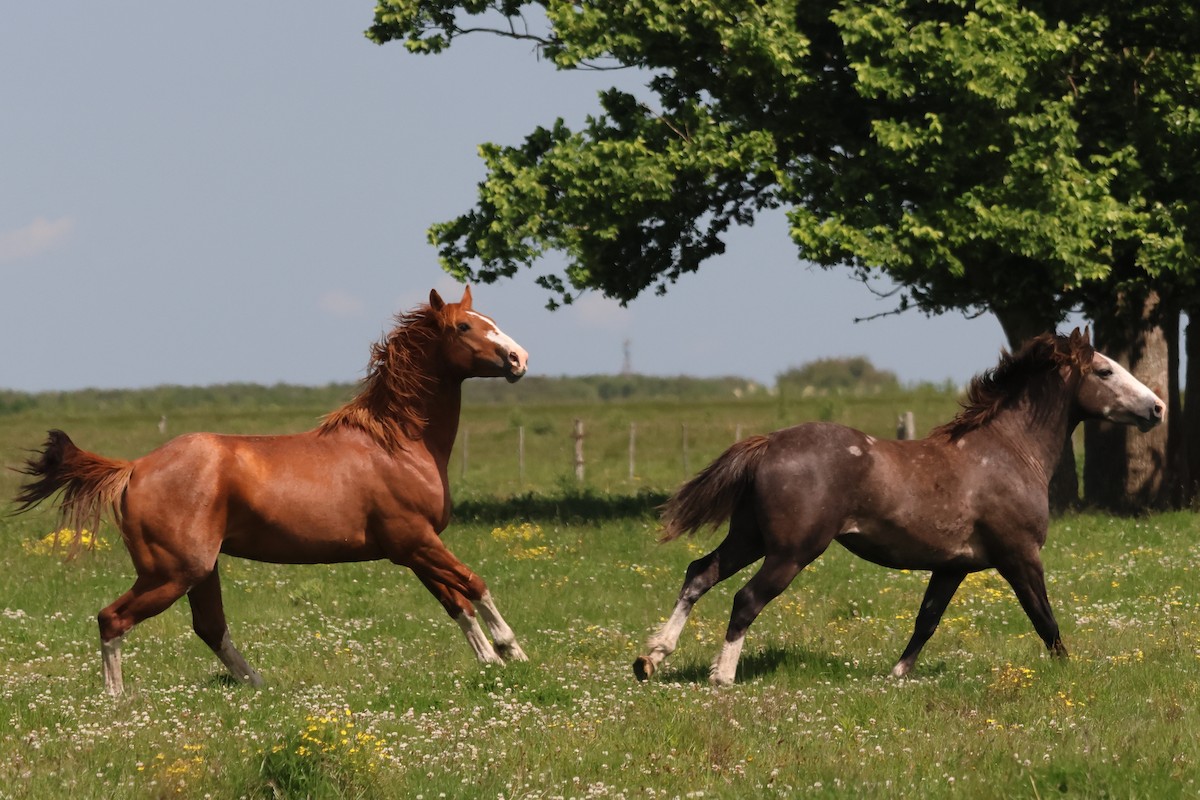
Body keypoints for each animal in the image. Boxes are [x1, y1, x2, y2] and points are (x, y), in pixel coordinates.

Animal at [15, 286, 530, 695]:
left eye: (491, 322)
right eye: (465, 326)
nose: (520, 359)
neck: (398, 445)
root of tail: (135, 467)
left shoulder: (412, 549)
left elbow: (456, 602)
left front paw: (490, 660)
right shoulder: (415, 540)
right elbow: (474, 584)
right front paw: (512, 651)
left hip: (199, 571)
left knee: (209, 627)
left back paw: (258, 684)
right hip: (172, 572)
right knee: (113, 618)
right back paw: (119, 700)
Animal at [633, 329, 1164, 686]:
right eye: (1104, 371)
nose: (1156, 408)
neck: (1008, 451)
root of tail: (768, 444)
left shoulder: (953, 567)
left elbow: (926, 621)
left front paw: (896, 673)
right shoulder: (1020, 556)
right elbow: (1044, 618)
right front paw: (1069, 672)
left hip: (750, 537)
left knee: (698, 574)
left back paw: (651, 658)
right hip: (790, 551)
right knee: (745, 599)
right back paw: (721, 676)